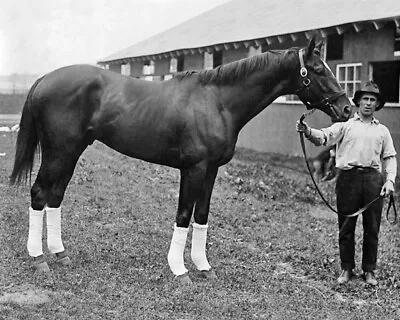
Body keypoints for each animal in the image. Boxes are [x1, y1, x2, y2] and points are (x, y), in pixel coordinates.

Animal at [10, 38, 350, 282]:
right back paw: (39, 260)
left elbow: (201, 216)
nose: (346, 109)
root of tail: (44, 79)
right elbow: (184, 215)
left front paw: (203, 267)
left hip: (71, 152)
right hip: (59, 152)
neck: (217, 102)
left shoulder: (211, 171)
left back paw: (60, 254)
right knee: (39, 194)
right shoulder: (194, 169)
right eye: (319, 70)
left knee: (55, 196)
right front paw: (179, 270)